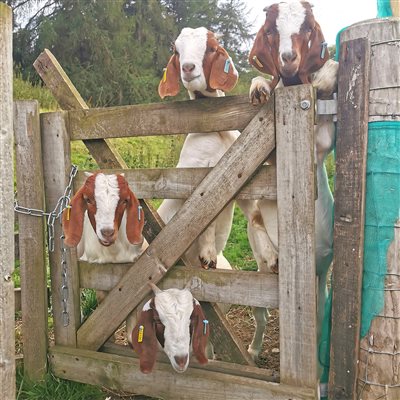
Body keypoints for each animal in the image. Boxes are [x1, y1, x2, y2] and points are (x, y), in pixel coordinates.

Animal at [247, 0, 338, 360]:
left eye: (308, 28)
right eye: (272, 30)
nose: (288, 58)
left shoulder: (320, 143)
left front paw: (329, 73)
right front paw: (258, 86)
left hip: (319, 278)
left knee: (318, 320)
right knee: (261, 310)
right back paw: (254, 348)